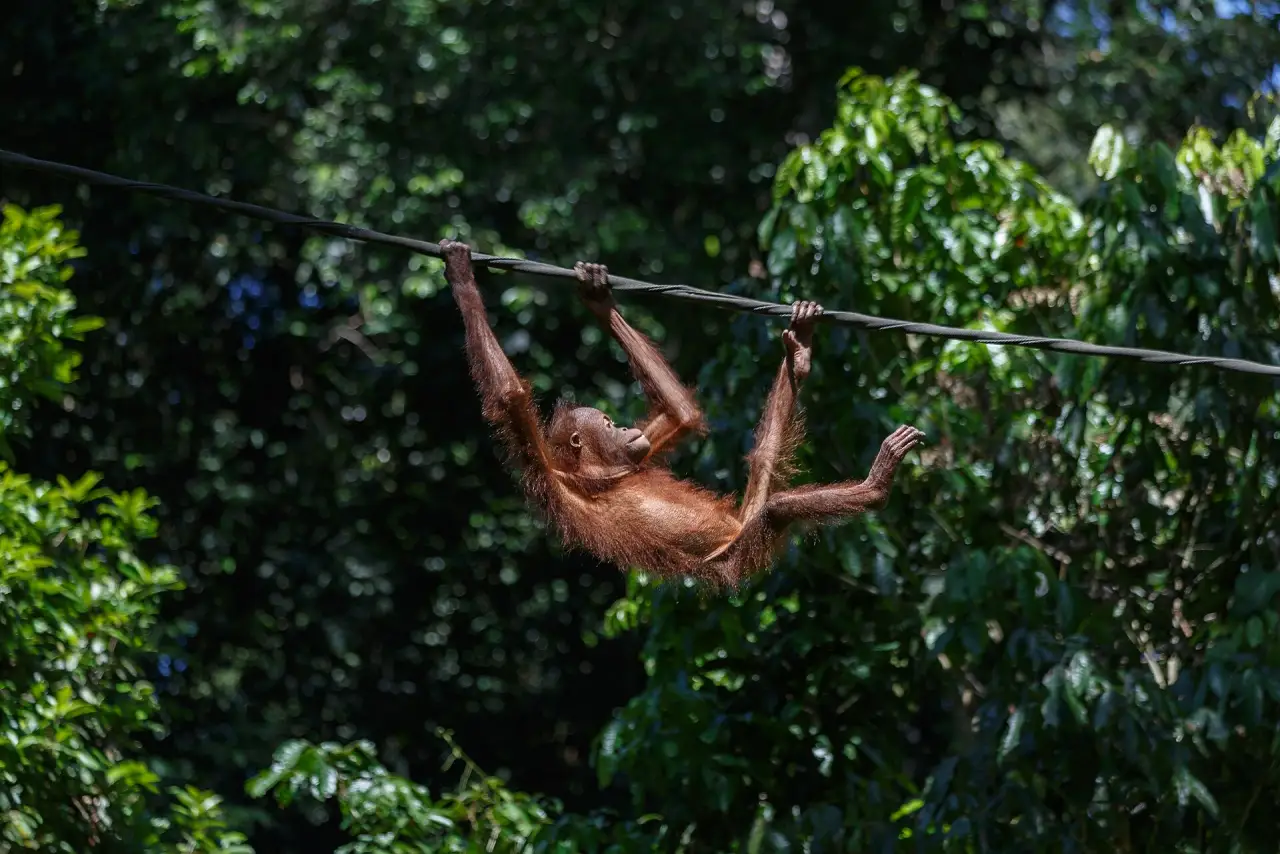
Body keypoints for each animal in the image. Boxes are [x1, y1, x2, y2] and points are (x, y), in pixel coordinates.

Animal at [441, 238, 923, 587]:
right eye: (607, 424)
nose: (623, 426)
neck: (601, 472)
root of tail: (736, 530)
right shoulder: (552, 473)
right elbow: (510, 396)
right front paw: (461, 275)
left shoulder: (641, 451)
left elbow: (682, 415)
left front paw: (597, 298)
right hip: (738, 553)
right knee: (775, 509)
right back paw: (875, 486)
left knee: (765, 460)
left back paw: (800, 353)